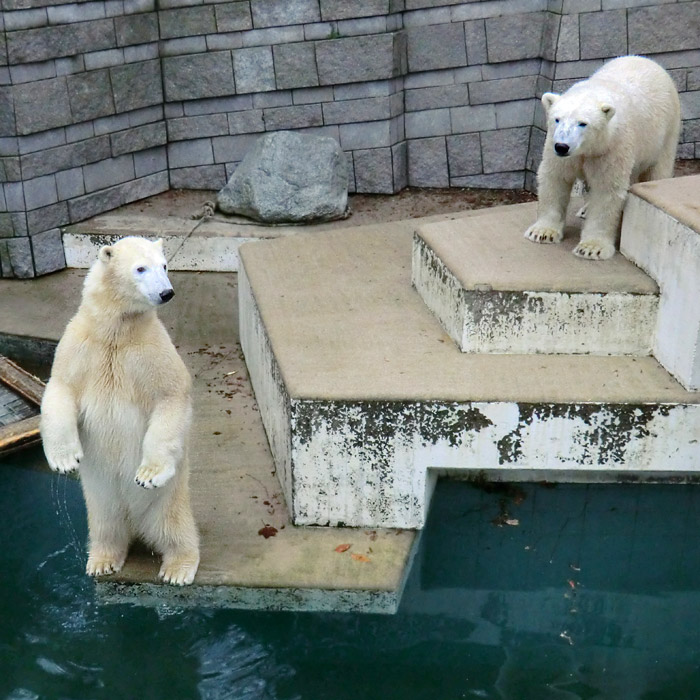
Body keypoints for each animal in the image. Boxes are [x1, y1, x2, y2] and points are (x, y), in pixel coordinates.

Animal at [40, 235, 198, 584]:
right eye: (141, 268)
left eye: (164, 265)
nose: (166, 292)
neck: (115, 330)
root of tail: (137, 525)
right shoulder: (80, 345)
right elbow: (60, 388)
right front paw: (65, 460)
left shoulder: (150, 349)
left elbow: (171, 395)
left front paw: (148, 474)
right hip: (101, 500)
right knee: (105, 528)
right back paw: (102, 560)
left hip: (168, 501)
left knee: (175, 528)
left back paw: (177, 568)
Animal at [528, 56, 680, 260]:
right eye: (557, 119)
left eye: (583, 123)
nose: (562, 146)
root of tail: (648, 60)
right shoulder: (558, 149)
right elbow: (556, 178)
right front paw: (542, 232)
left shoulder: (612, 148)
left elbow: (606, 189)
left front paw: (591, 248)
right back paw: (585, 209)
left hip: (665, 133)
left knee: (657, 170)